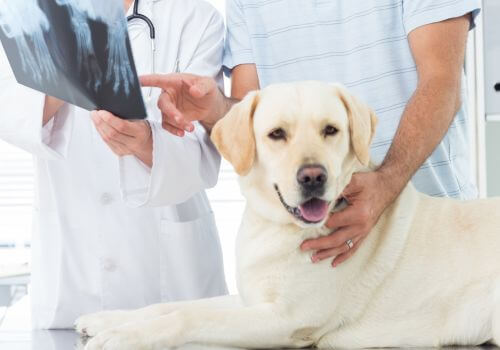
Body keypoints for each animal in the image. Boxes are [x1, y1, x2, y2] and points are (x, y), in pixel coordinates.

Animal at [76, 80, 500, 348]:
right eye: (276, 134)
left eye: (331, 130)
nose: (313, 177)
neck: (276, 228)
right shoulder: (251, 302)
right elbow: (172, 305)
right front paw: (109, 319)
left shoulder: (285, 320)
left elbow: (186, 318)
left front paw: (122, 337)